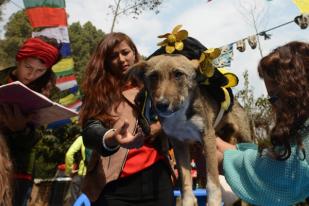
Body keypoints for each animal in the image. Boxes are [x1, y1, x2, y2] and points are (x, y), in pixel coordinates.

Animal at [127, 54, 250, 205]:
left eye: (178, 74)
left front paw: (214, 201)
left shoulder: (207, 136)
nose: (161, 105)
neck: (180, 117)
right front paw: (187, 201)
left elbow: (212, 181)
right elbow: (185, 182)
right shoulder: (179, 144)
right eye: (153, 76)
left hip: (245, 137)